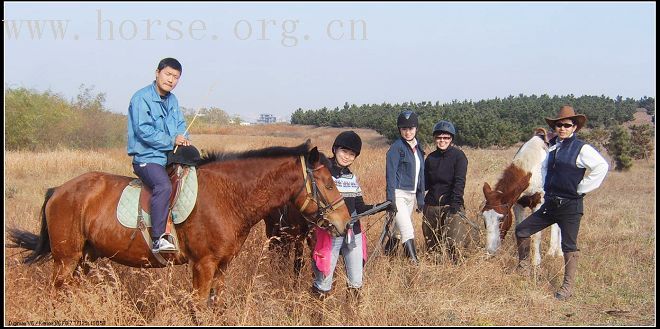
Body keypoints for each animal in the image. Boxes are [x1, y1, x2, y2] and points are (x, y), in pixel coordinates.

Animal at [9, 140, 350, 304]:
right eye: (328, 184)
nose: (346, 223)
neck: (227, 196)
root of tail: (59, 190)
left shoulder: (221, 266)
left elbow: (215, 305)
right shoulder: (203, 265)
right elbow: (198, 307)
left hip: (86, 258)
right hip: (66, 260)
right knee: (57, 292)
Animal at [480, 127, 564, 266]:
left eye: (502, 218)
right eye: (484, 218)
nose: (490, 252)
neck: (532, 168)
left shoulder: (538, 204)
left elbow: (536, 235)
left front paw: (536, 263)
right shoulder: (518, 204)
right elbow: (520, 232)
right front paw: (522, 262)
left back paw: (558, 252)